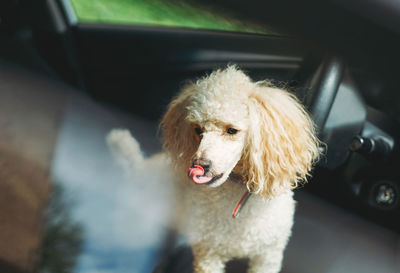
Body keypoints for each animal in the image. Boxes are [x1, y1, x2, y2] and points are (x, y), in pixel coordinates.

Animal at [108, 66, 320, 272]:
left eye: (232, 130)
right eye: (197, 130)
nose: (200, 165)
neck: (238, 190)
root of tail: (139, 167)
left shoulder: (268, 255)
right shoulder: (208, 254)